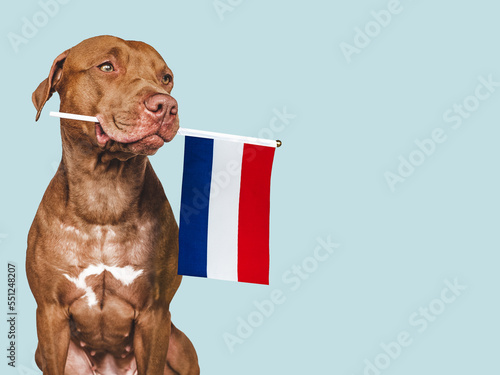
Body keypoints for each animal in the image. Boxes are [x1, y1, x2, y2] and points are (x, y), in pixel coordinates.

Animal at [26, 36, 199, 375]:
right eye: (107, 67)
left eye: (166, 78)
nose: (166, 106)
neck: (105, 195)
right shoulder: (50, 314)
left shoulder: (155, 314)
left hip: (180, 347)